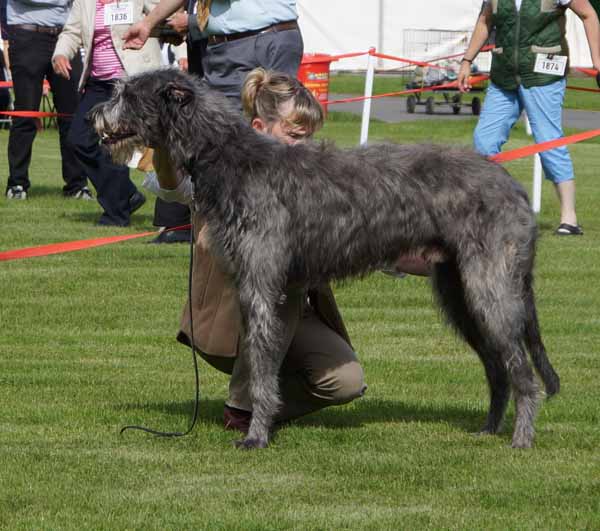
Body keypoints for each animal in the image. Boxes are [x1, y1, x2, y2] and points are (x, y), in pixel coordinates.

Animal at [91, 66, 560, 448]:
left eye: (127, 94)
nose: (93, 113)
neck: (228, 156)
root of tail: (513, 187)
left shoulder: (260, 282)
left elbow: (260, 365)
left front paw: (256, 435)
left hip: (489, 288)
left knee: (520, 370)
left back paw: (521, 438)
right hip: (459, 293)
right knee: (497, 367)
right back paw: (489, 429)